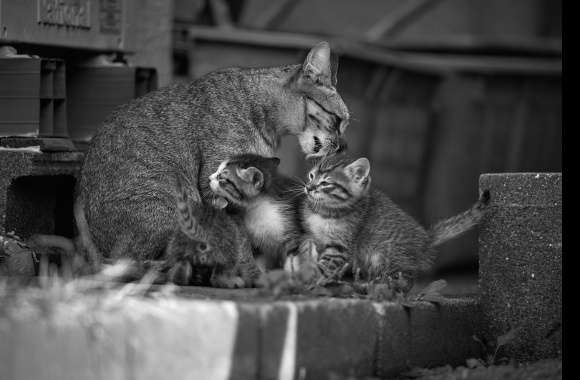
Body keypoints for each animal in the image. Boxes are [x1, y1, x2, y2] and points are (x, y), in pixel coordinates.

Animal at [294, 153, 490, 292]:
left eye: (325, 183)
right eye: (311, 176)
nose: (308, 187)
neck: (325, 212)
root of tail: (425, 238)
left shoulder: (339, 245)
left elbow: (325, 264)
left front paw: (309, 280)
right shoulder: (314, 238)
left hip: (386, 255)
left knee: (404, 280)